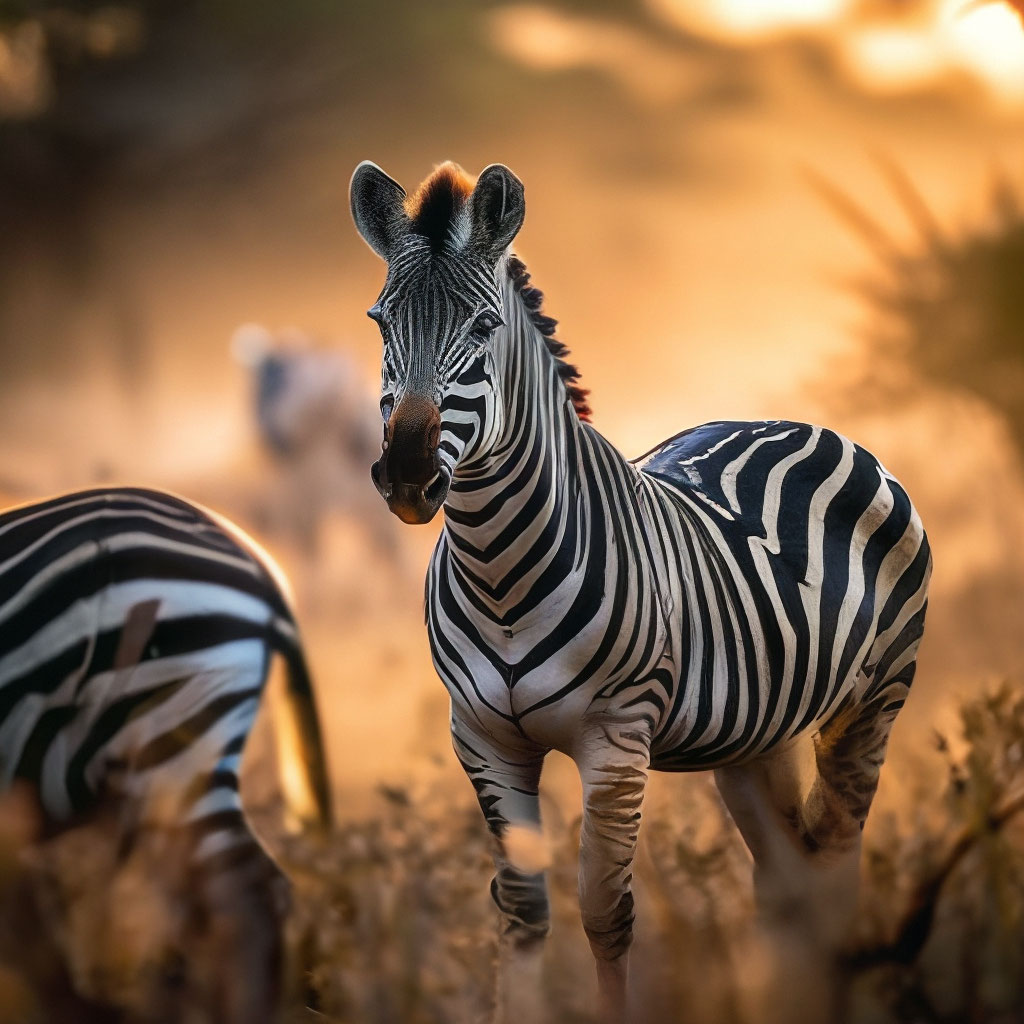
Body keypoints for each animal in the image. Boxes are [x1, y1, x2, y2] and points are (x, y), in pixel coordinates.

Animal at [354, 157, 937, 1024]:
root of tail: (802, 425)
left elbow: (606, 910)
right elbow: (523, 910)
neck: (498, 569)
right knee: (788, 882)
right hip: (758, 736)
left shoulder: (617, 736)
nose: (408, 477)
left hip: (871, 704)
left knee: (836, 864)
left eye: (484, 329)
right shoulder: (483, 738)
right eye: (380, 323)